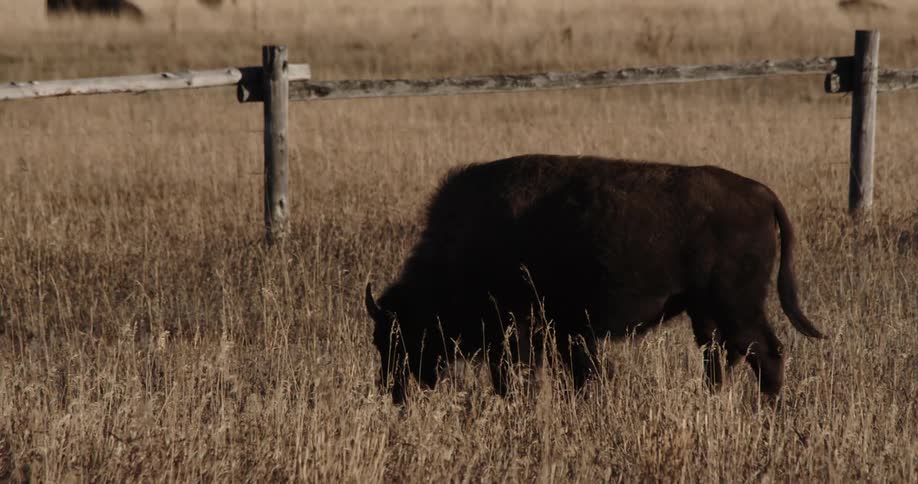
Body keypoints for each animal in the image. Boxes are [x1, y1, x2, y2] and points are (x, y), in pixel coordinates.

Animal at [365, 154, 824, 403]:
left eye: (399, 335)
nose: (393, 390)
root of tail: (761, 193)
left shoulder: (521, 332)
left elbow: (519, 378)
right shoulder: (570, 332)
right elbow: (580, 374)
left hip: (736, 306)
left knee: (765, 352)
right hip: (706, 312)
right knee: (720, 355)